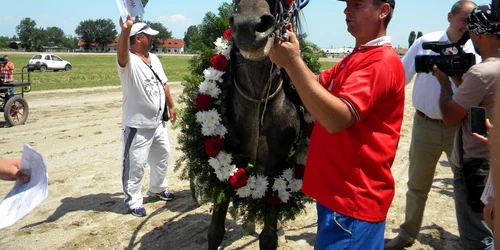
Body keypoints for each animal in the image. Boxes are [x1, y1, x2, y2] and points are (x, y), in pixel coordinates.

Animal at [207, 0, 304, 250]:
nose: (248, 25)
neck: (257, 102)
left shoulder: (275, 166)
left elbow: (268, 238)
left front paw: (275, 231)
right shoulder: (224, 155)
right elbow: (215, 230)